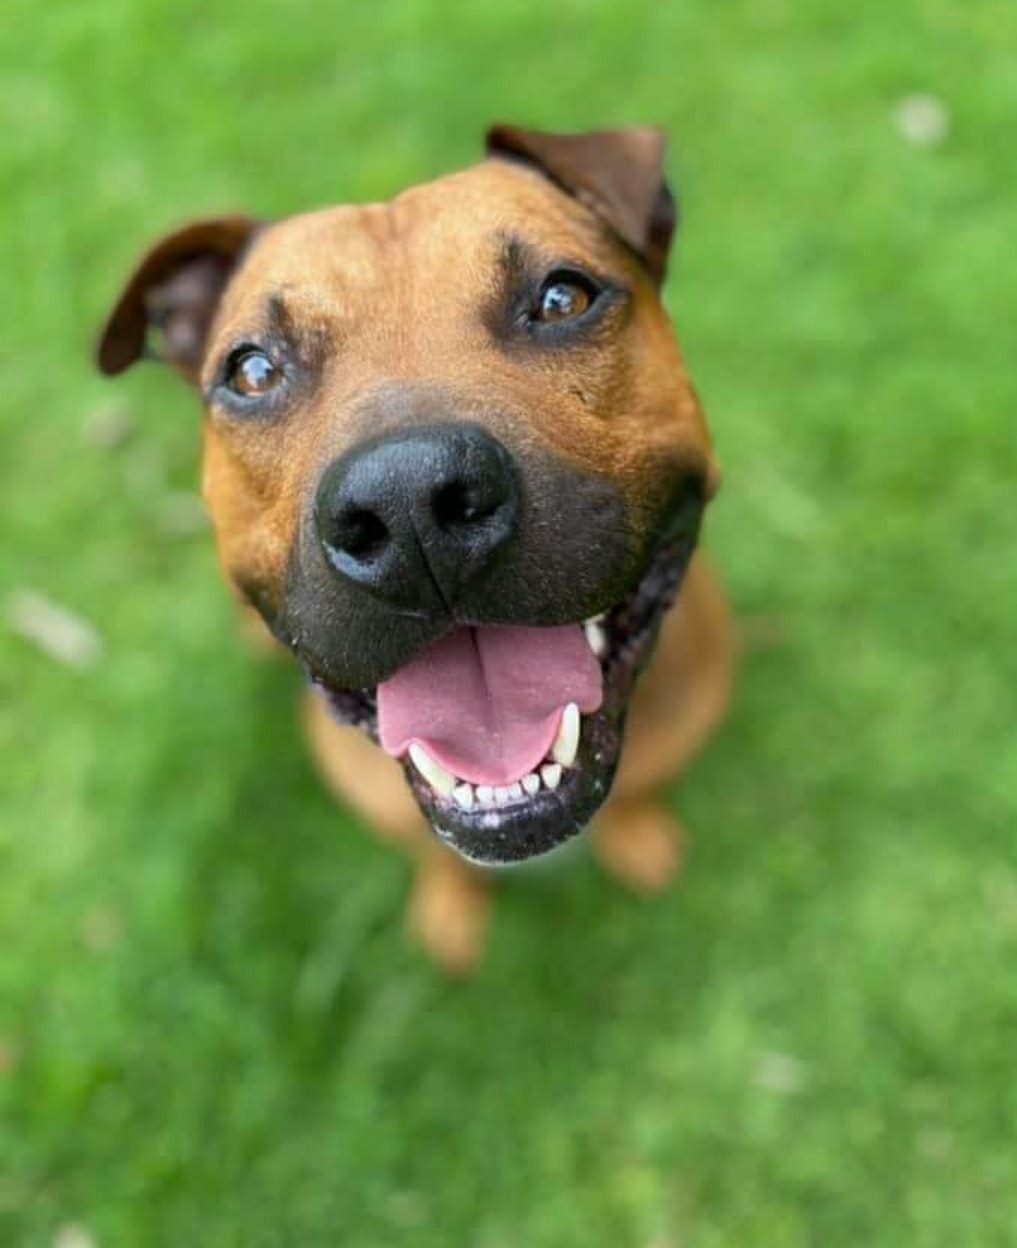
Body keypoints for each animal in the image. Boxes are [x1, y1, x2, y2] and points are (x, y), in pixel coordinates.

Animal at [97, 125, 733, 971]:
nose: (408, 507)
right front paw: (449, 913)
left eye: (561, 298)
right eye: (253, 370)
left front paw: (636, 839)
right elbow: (441, 862)